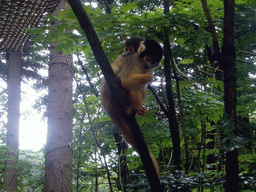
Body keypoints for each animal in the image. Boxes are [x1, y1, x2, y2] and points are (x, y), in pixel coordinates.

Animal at [101, 38, 163, 174]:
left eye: (153, 62)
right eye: (147, 60)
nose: (148, 65)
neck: (140, 62)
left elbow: (139, 89)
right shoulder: (132, 59)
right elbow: (123, 80)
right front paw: (147, 77)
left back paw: (135, 107)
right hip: (108, 95)